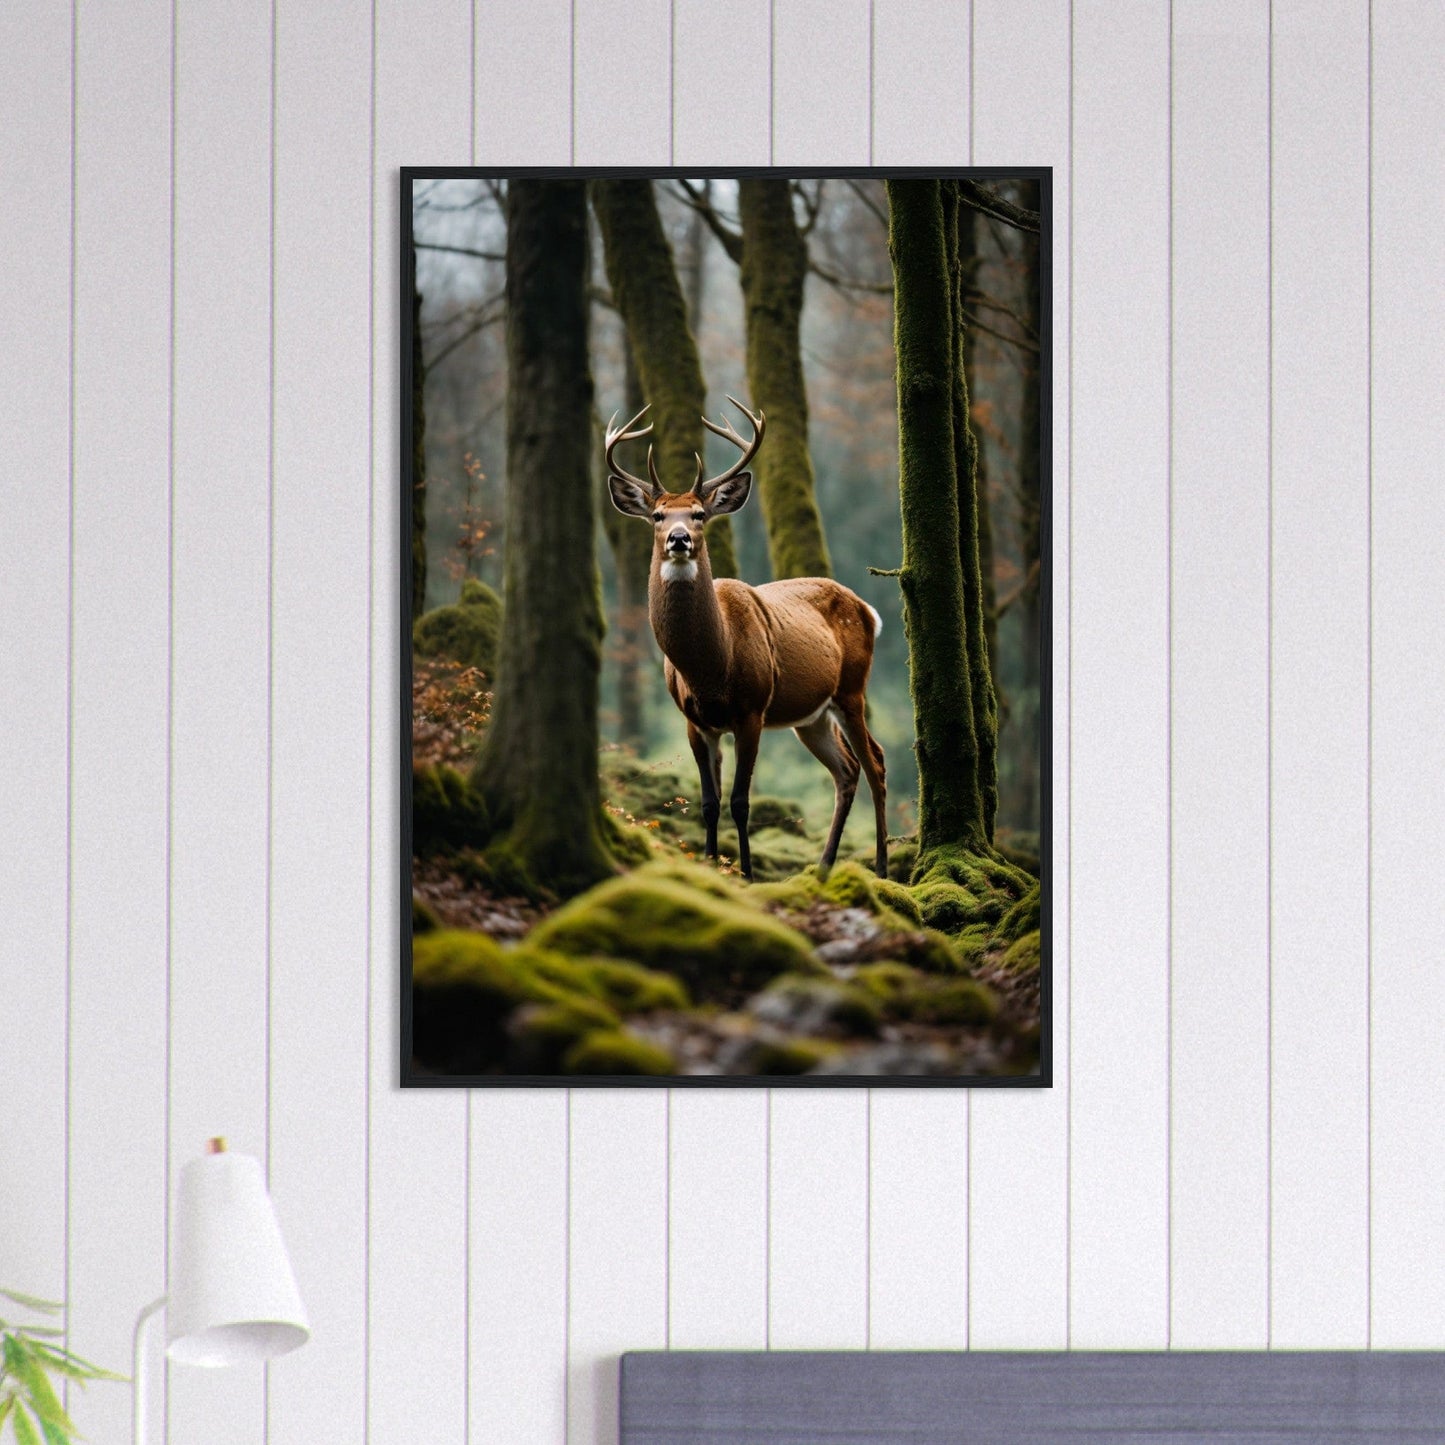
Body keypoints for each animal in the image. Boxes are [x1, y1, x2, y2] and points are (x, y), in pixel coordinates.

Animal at [605, 396, 888, 882]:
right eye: (658, 515)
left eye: (698, 514)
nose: (679, 539)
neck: (711, 668)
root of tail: (867, 610)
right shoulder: (696, 721)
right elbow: (708, 803)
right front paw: (711, 868)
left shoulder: (752, 710)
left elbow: (740, 802)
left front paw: (749, 875)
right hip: (810, 715)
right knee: (847, 770)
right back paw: (823, 868)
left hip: (852, 688)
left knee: (876, 764)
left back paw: (885, 868)